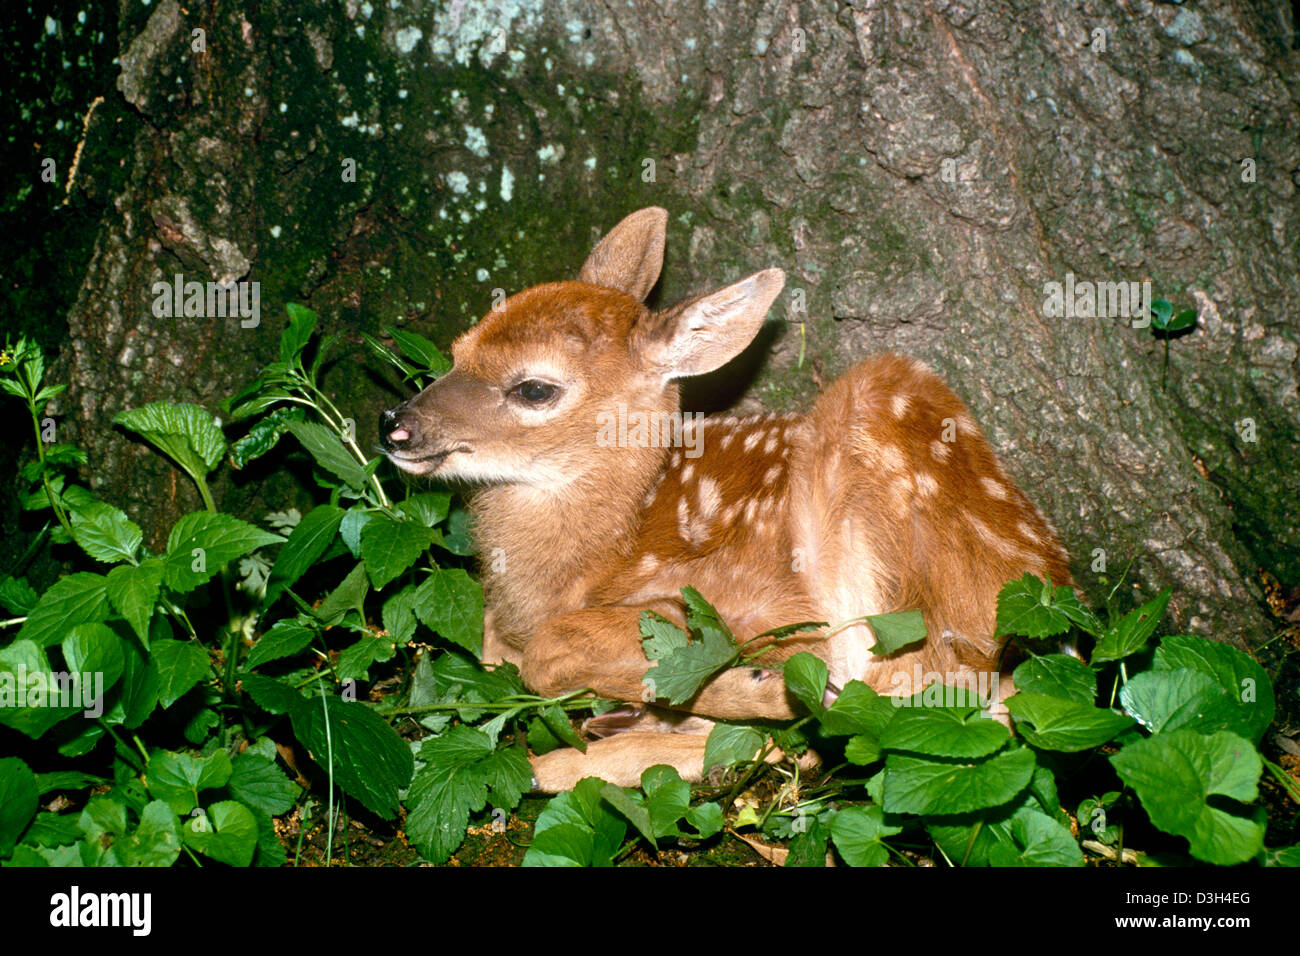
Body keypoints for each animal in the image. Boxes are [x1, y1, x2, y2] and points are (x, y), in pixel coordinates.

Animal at [380, 207, 1072, 792]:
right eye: (458, 349)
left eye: (534, 388)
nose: (395, 424)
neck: (599, 554)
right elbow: (495, 644)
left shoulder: (732, 603)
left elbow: (548, 654)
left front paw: (749, 688)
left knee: (873, 708)